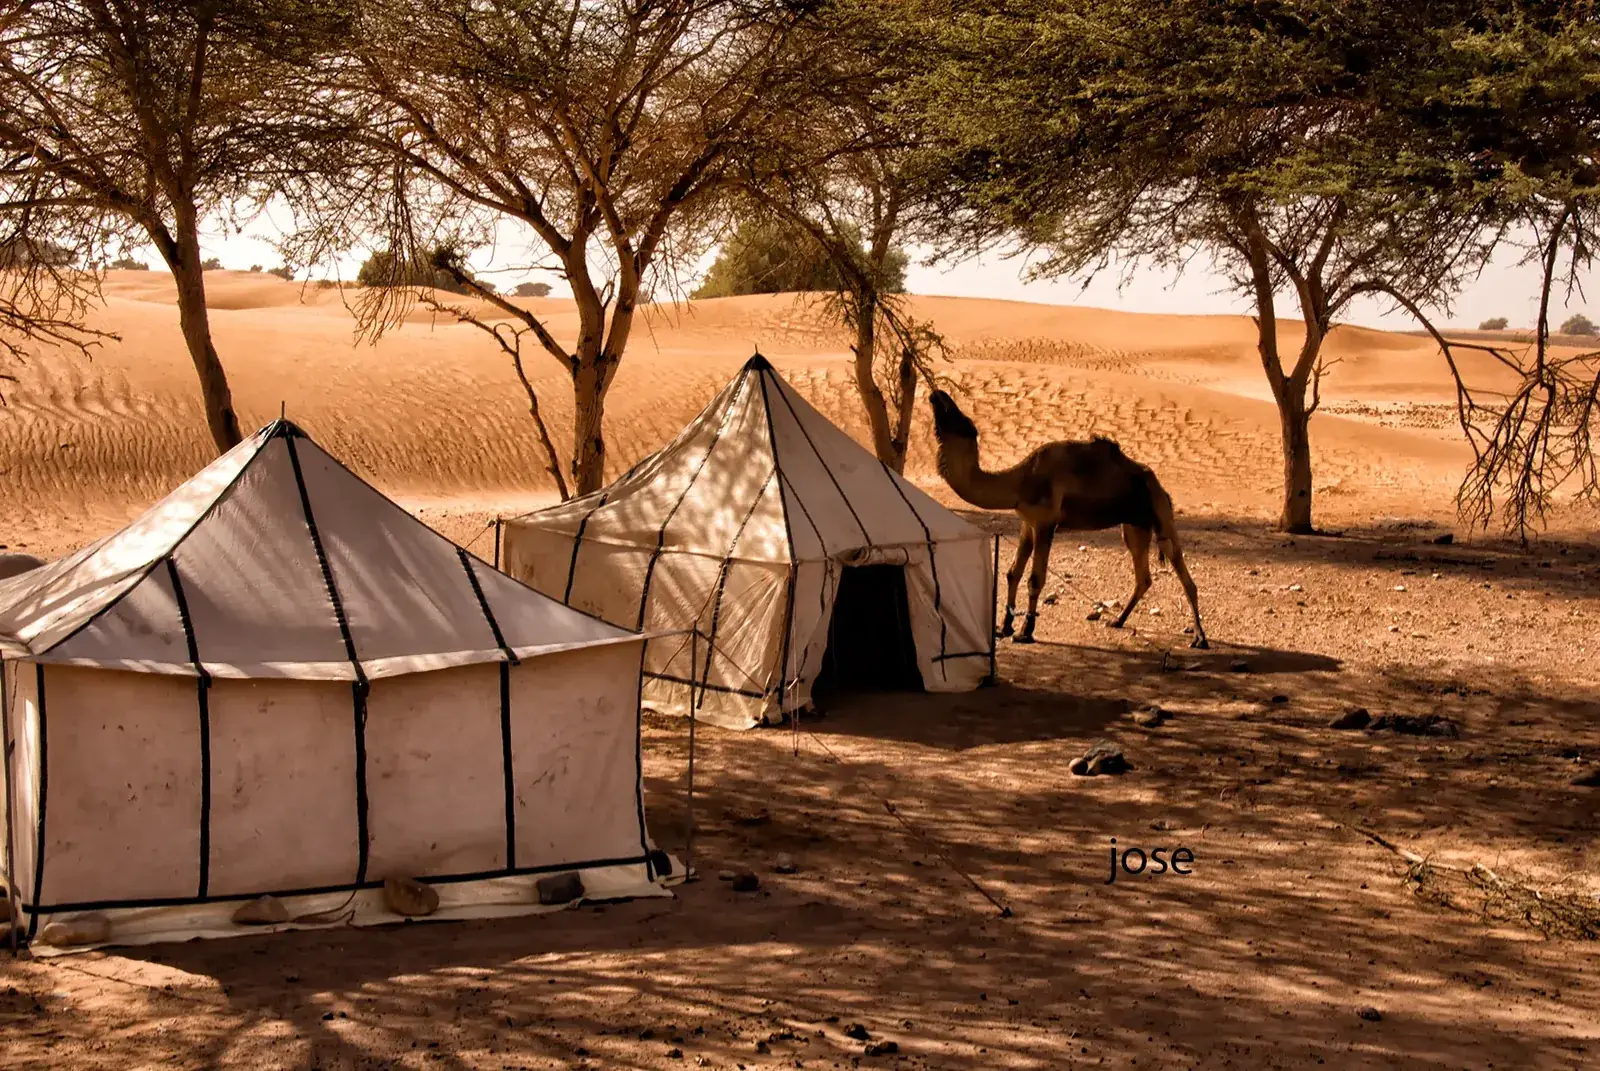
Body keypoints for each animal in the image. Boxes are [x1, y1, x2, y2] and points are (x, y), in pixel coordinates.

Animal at [929, 390, 1207, 648]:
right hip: (1134, 525)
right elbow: (1012, 572)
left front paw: (1025, 632)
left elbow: (1035, 578)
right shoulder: (1027, 523)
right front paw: (1004, 627)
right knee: (1144, 577)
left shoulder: (1045, 522)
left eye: (959, 418)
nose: (937, 394)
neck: (1020, 483)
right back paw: (1117, 621)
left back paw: (1200, 638)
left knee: (1183, 572)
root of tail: (1161, 488)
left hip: (1161, 514)